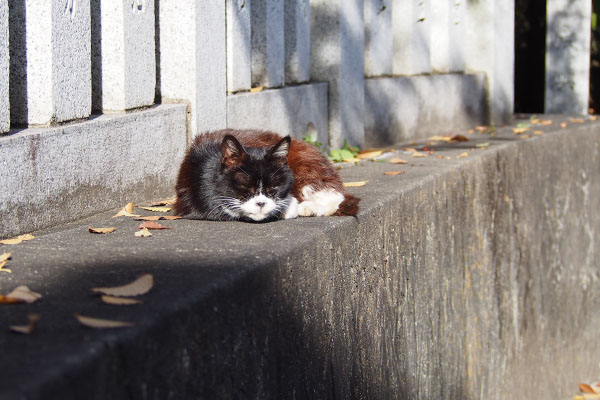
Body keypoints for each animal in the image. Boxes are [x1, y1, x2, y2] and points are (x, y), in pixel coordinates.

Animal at [173, 130, 360, 222]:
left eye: (274, 187)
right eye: (245, 186)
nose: (261, 203)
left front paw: (290, 206)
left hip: (305, 163)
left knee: (335, 196)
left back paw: (309, 207)